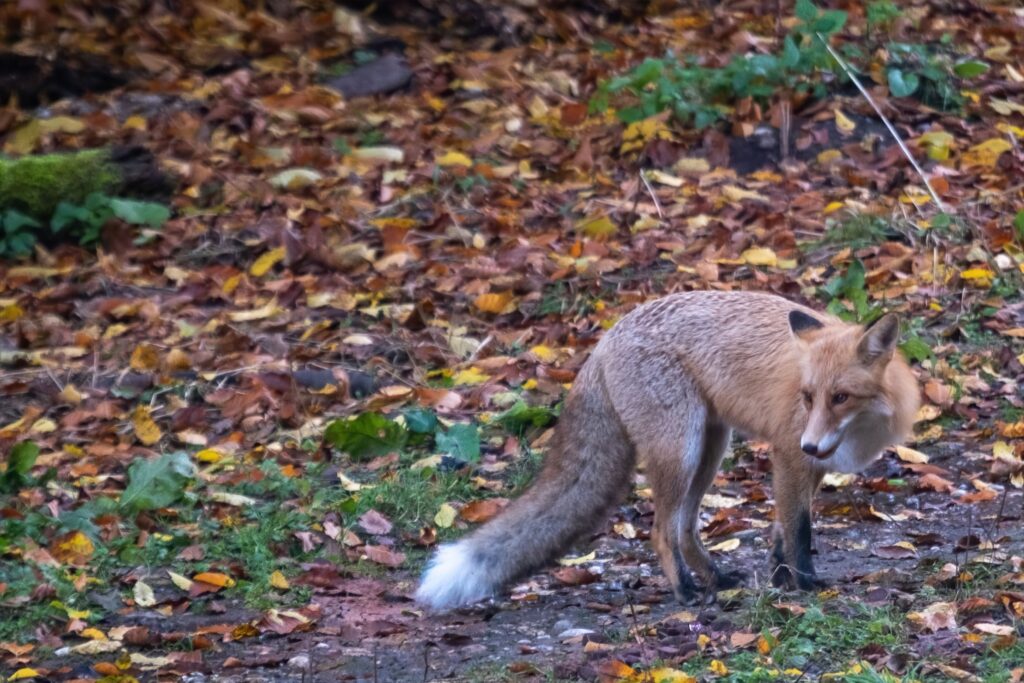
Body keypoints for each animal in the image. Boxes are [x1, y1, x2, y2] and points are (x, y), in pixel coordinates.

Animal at [415, 290, 921, 610]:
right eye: (808, 396)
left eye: (841, 397)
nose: (812, 441)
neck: (859, 427)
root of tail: (605, 339)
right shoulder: (791, 453)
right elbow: (798, 530)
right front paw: (807, 585)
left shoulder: (810, 462)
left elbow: (781, 529)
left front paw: (780, 578)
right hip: (682, 449)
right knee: (661, 532)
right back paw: (687, 592)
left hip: (709, 449)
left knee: (683, 528)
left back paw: (716, 579)